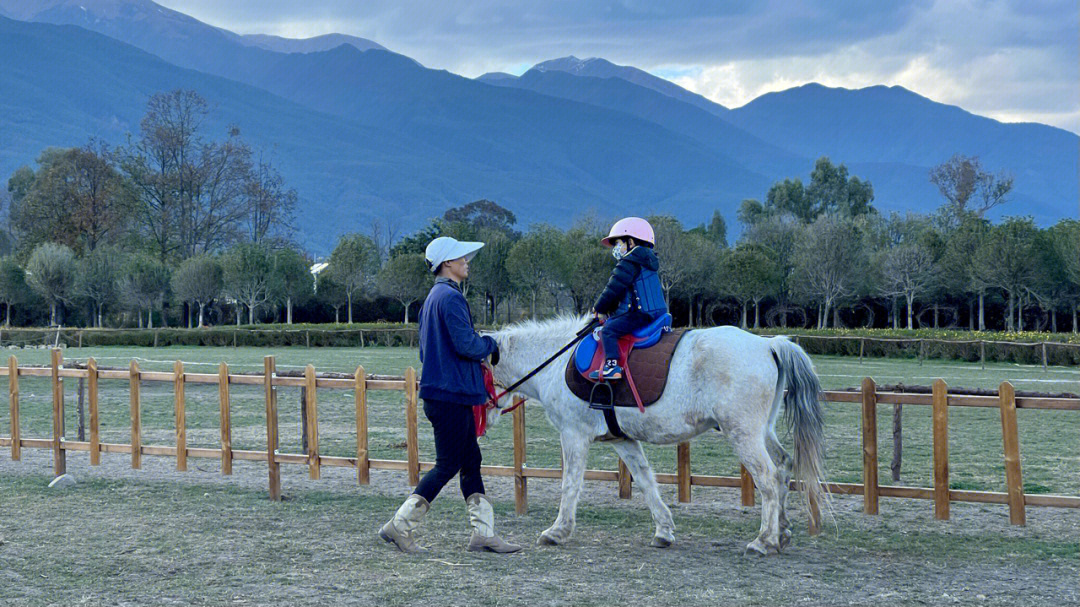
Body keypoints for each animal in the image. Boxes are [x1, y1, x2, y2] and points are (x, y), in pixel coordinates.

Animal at [488, 313, 825, 557]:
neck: (556, 362)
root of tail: (768, 344)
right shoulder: (622, 440)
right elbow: (646, 480)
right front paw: (663, 530)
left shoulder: (574, 435)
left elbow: (570, 484)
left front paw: (557, 532)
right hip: (761, 431)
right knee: (783, 466)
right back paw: (781, 532)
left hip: (743, 434)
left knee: (767, 477)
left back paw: (764, 540)